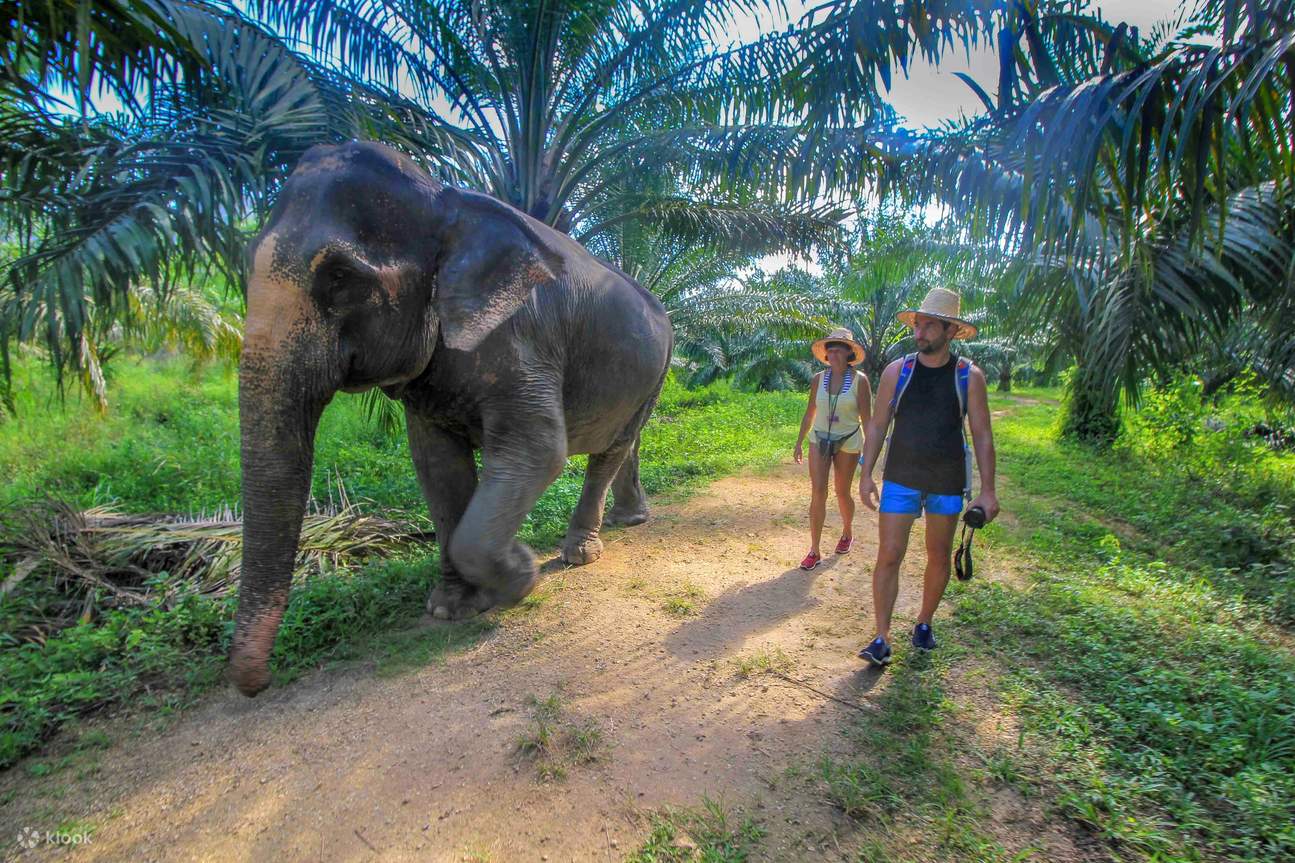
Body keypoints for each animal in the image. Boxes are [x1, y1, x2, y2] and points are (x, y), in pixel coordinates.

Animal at [231, 139, 673, 694]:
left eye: (340, 277)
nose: (259, 683)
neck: (444, 199)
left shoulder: (523, 336)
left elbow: (538, 449)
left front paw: (520, 572)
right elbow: (436, 466)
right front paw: (450, 608)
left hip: (657, 369)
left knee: (612, 447)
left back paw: (579, 554)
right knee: (626, 443)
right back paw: (628, 520)